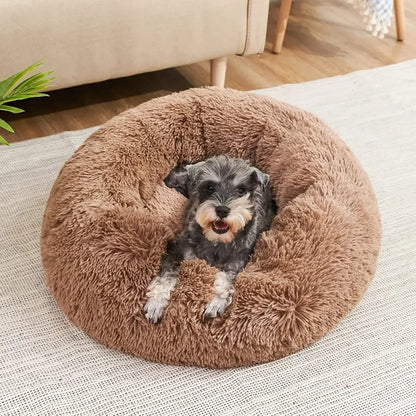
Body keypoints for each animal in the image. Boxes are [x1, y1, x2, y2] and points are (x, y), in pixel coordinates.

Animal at [144, 154, 276, 324]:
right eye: (210, 187)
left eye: (241, 190)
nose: (222, 210)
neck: (217, 241)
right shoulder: (176, 251)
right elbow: (165, 277)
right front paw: (155, 303)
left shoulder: (237, 262)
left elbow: (227, 279)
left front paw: (216, 302)